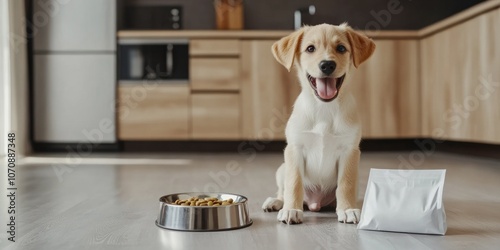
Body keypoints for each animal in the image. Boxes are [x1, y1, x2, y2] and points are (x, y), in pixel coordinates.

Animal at [262, 23, 376, 225]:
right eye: (310, 49)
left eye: (341, 48)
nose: (327, 65)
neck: (325, 109)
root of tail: (315, 203)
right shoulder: (294, 149)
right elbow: (294, 183)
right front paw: (291, 209)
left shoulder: (349, 151)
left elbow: (345, 184)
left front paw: (347, 209)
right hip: (282, 168)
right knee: (283, 190)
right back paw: (276, 202)